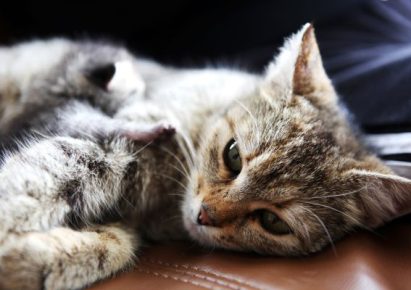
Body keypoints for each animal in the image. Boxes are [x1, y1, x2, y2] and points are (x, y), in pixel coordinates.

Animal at [0, 24, 411, 290]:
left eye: (273, 222)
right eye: (233, 155)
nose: (204, 215)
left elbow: (113, 248)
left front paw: (26, 260)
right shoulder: (108, 145)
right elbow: (33, 182)